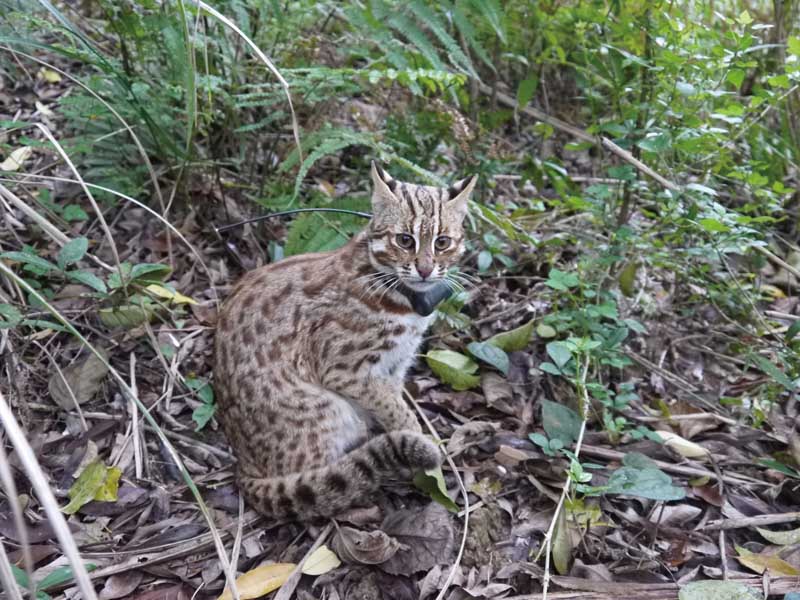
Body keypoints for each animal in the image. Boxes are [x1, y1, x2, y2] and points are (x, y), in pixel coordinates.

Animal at [212, 162, 476, 516]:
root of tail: (244, 466)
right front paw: (418, 438)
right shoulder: (346, 370)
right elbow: (396, 409)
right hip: (329, 410)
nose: (424, 270)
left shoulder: (396, 365)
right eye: (405, 240)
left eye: (443, 242)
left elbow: (393, 402)